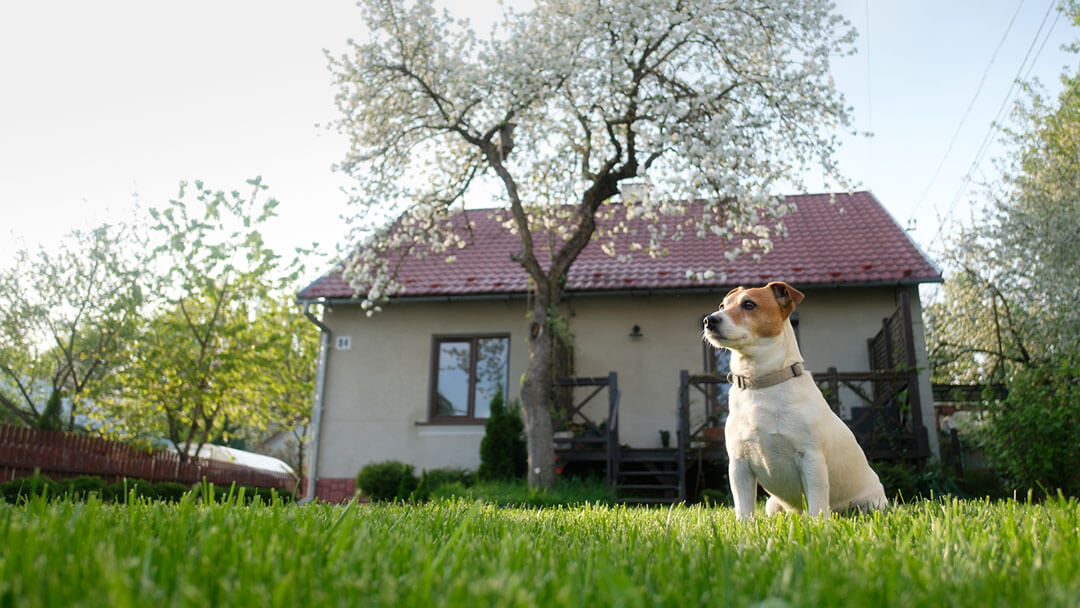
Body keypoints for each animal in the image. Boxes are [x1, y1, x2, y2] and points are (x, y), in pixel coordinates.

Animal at [699, 282, 885, 520]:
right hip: (772, 505)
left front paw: (818, 525)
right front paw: (744, 526)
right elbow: (744, 509)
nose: (709, 320)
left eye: (749, 304)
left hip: (871, 505)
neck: (761, 384)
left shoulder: (811, 459)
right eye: (722, 306)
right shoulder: (739, 465)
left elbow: (816, 504)